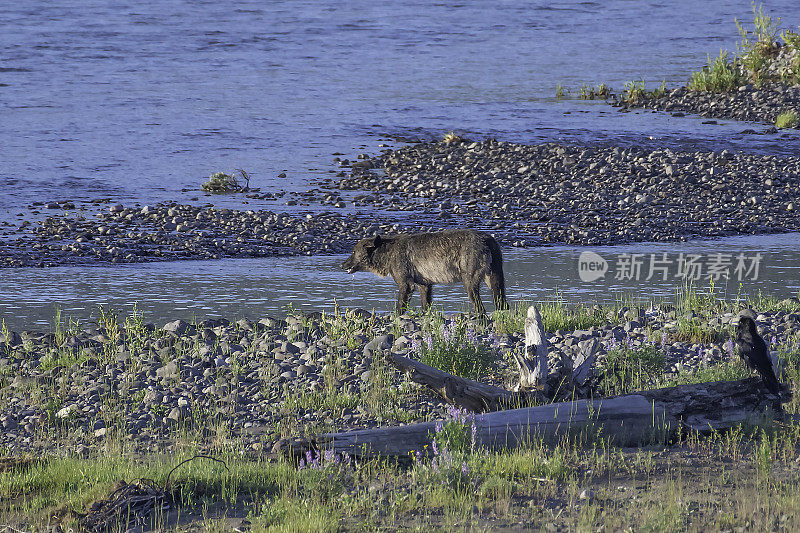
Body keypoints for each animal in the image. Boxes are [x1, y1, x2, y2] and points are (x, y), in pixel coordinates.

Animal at [342, 228, 506, 312]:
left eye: (353, 251)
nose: (343, 264)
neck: (386, 256)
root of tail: (488, 240)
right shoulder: (423, 278)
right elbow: (425, 297)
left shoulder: (403, 269)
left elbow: (405, 290)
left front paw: (397, 314)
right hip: (494, 265)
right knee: (498, 289)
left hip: (470, 261)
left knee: (472, 289)